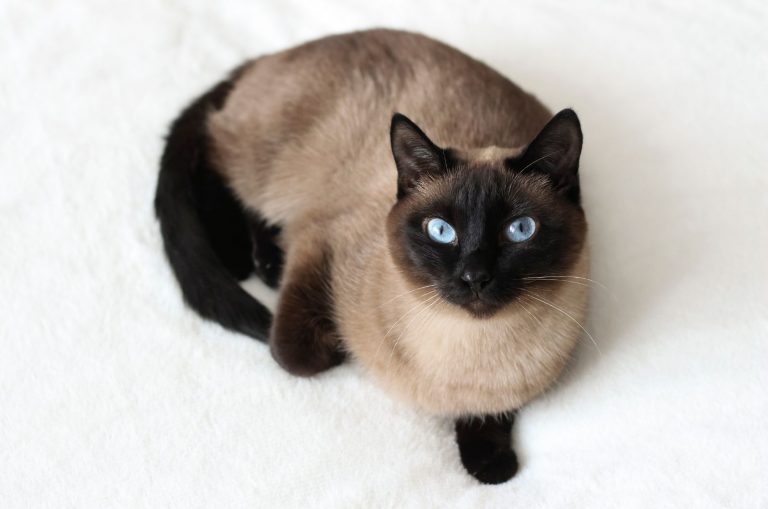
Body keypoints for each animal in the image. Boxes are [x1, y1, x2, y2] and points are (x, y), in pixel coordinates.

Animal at [154, 28, 588, 484]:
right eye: (441, 231)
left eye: (520, 230)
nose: (475, 277)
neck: (469, 350)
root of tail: (274, 54)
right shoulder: (318, 241)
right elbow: (295, 354)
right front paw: (337, 345)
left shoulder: (512, 388)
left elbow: (492, 420)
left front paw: (490, 462)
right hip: (266, 165)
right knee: (213, 158)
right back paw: (241, 258)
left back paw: (266, 262)